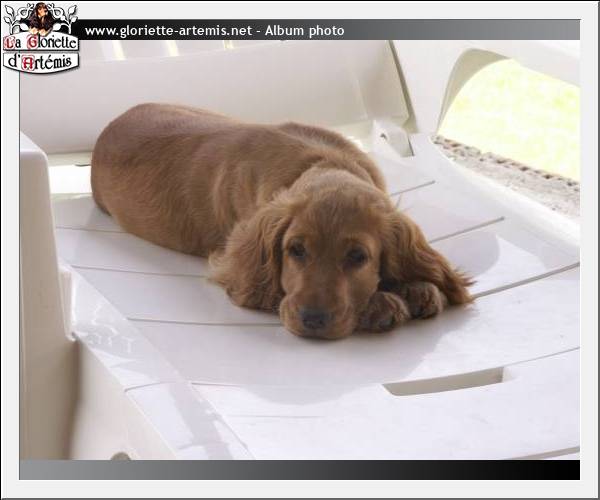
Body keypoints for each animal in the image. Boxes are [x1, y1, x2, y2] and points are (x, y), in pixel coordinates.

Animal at [91, 103, 472, 339]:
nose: (313, 320)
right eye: (295, 250)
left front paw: (417, 288)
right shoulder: (233, 262)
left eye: (358, 257)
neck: (324, 162)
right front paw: (382, 303)